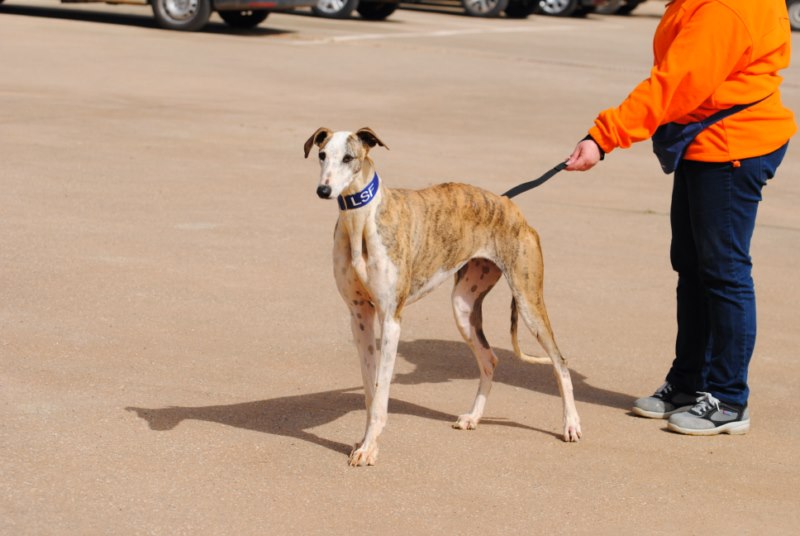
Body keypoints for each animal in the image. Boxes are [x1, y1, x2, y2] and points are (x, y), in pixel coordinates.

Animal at [304, 127, 581, 466]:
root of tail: (508, 204)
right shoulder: (360, 316)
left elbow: (381, 391)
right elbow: (371, 389)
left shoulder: (391, 318)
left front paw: (369, 448)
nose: (324, 190)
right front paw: (365, 442)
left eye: (348, 157)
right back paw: (473, 417)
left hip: (529, 300)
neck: (360, 221)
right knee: (489, 358)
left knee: (559, 361)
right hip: (463, 306)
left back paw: (571, 424)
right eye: (322, 155)